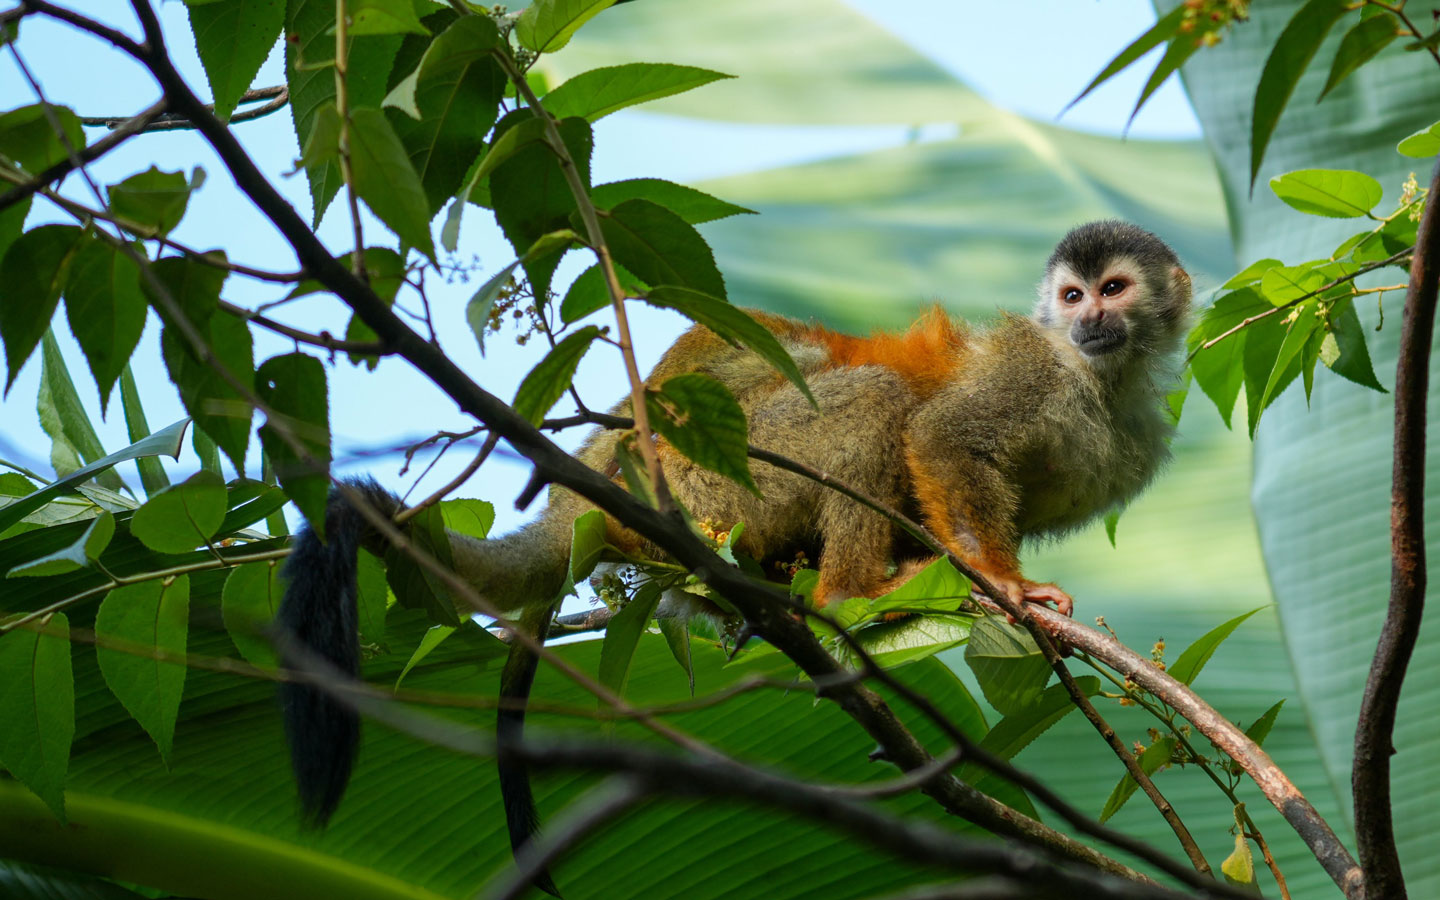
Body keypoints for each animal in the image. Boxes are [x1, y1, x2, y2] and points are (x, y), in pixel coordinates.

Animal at [275, 220, 1191, 894]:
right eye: (1072, 296)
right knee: (875, 397)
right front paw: (1003, 583)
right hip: (716, 472)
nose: (1088, 319)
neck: (1098, 383)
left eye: (1113, 290)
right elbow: (944, 437)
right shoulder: (1033, 372)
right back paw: (846, 591)